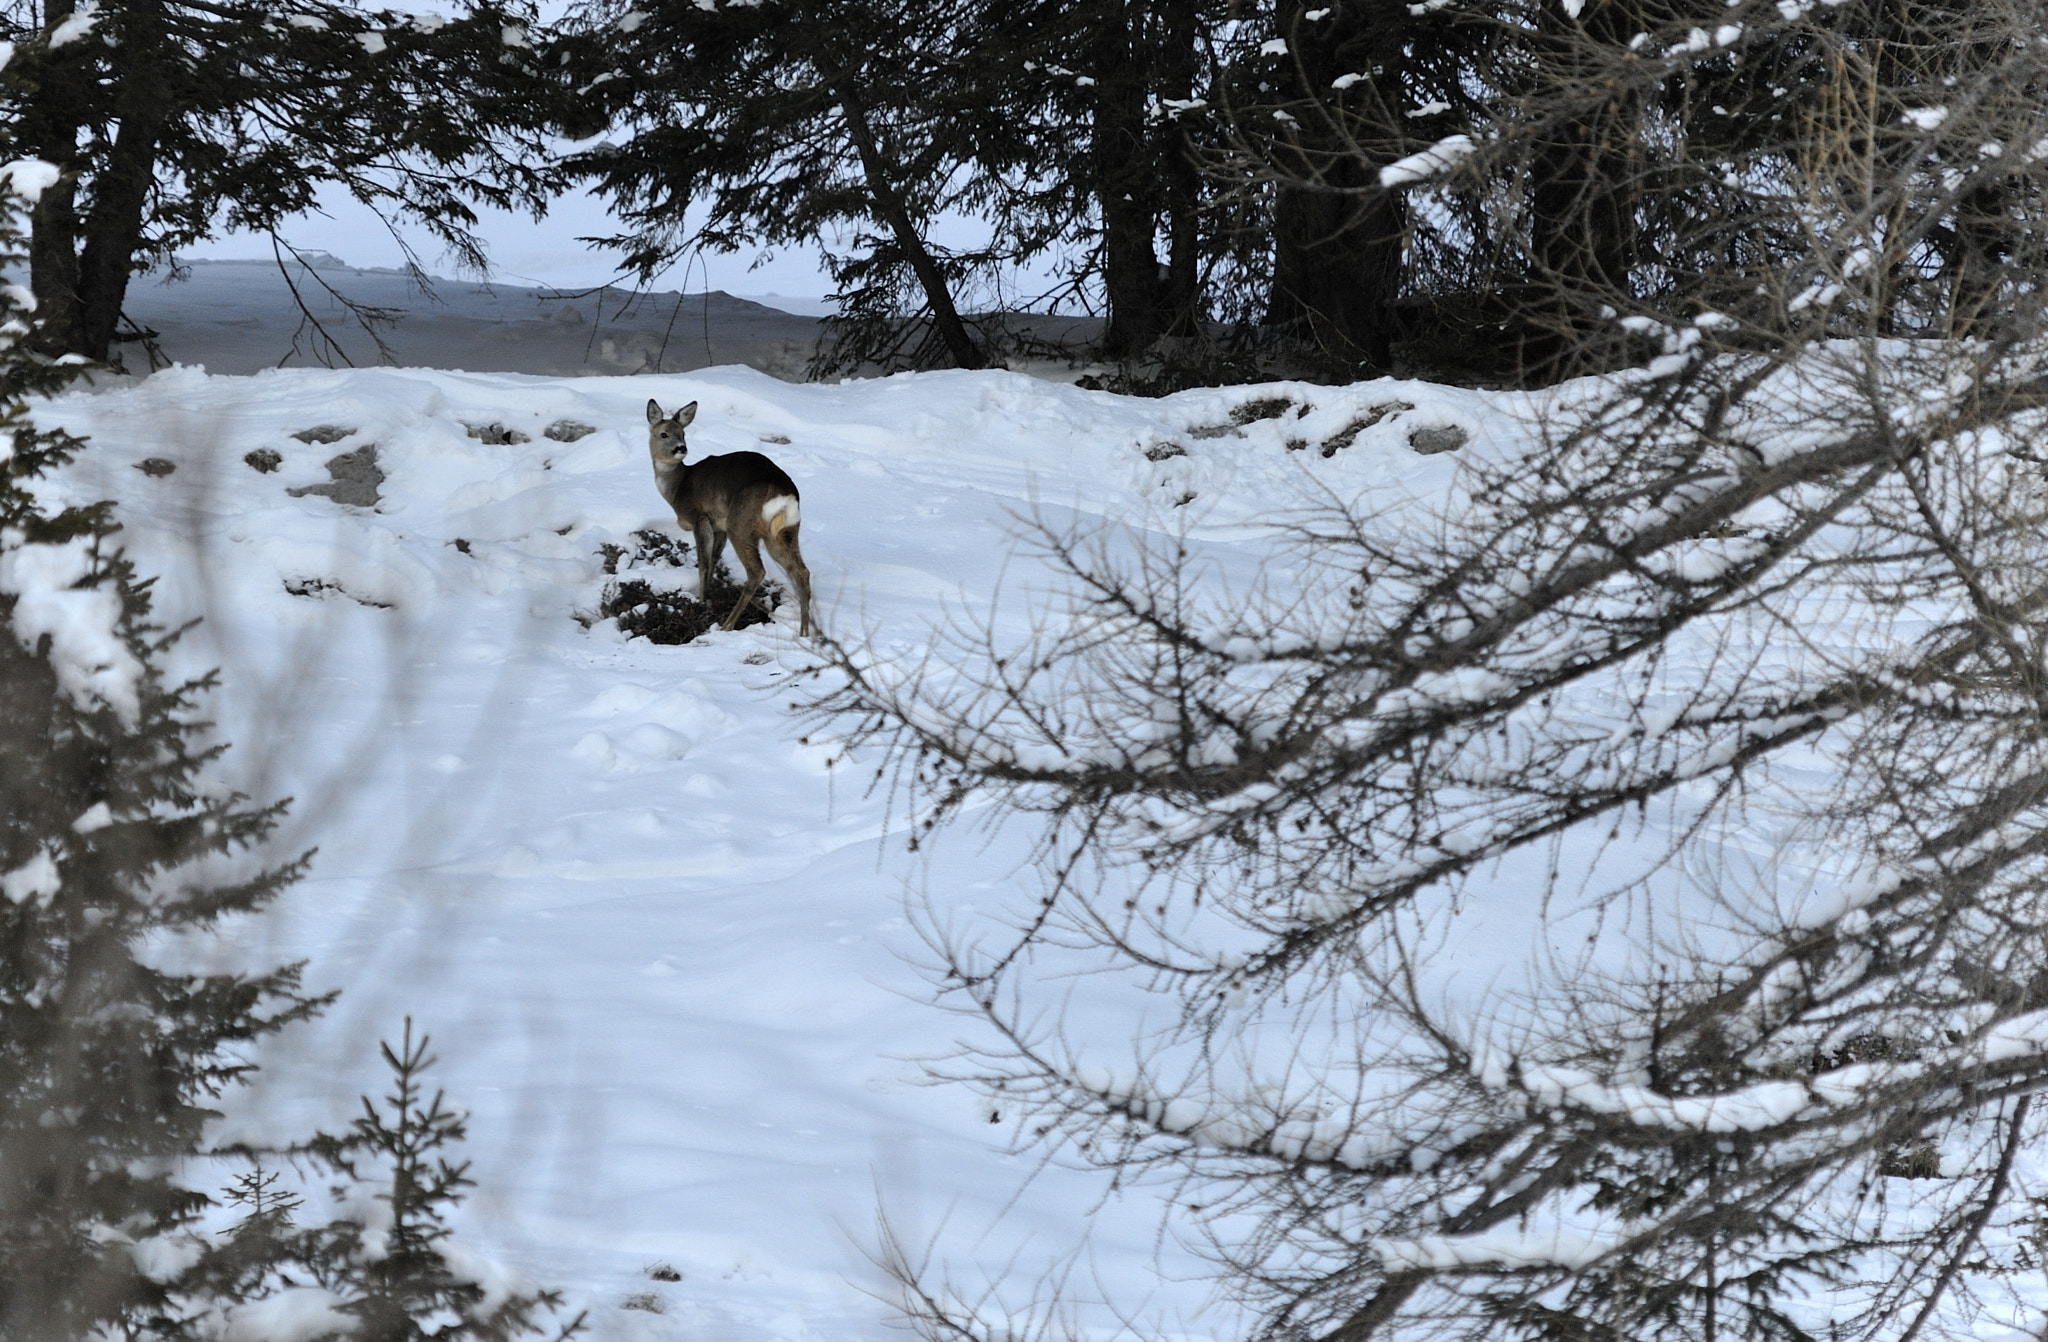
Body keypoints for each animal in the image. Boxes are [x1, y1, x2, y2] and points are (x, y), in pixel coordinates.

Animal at [643, 401, 811, 639]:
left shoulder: (700, 517)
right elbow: (714, 559)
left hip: (740, 525)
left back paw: (727, 625)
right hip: (784, 531)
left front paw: (701, 601)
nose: (681, 448)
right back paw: (805, 632)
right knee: (801, 571)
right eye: (664, 434)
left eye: (682, 433)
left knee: (757, 571)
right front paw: (709, 595)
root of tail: (785, 494)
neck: (678, 489)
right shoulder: (719, 526)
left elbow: (703, 563)